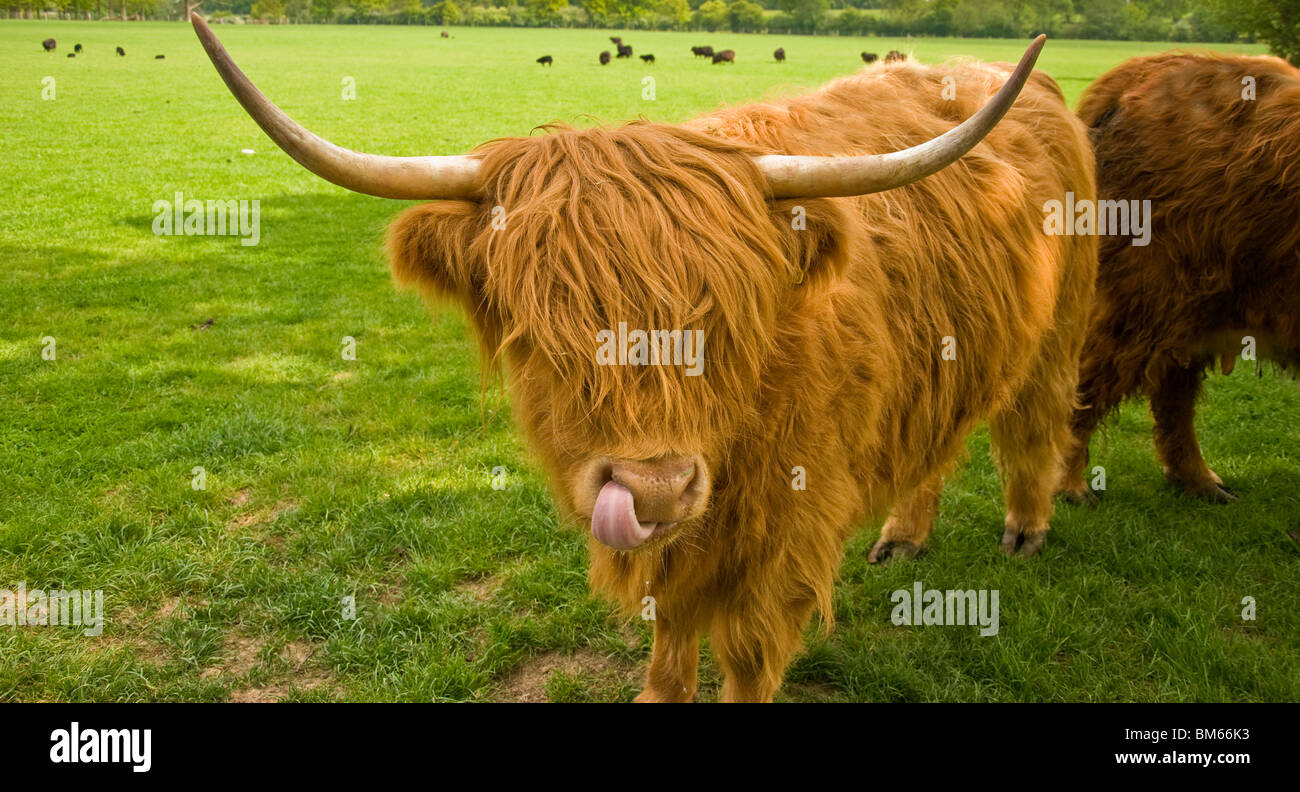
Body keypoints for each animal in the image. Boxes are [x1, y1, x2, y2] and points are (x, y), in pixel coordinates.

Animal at [193, 18, 1092, 702]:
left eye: (725, 322)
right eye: (542, 333)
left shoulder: (788, 529)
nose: (655, 489)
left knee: (1036, 420)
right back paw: (904, 535)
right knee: (938, 443)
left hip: (1060, 325)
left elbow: (748, 654)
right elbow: (672, 627)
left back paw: (1028, 527)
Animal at [1059, 53, 1300, 505]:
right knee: (1092, 379)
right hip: (1150, 289)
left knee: (1173, 387)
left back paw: (1198, 480)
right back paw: (1070, 485)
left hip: (1193, 296)